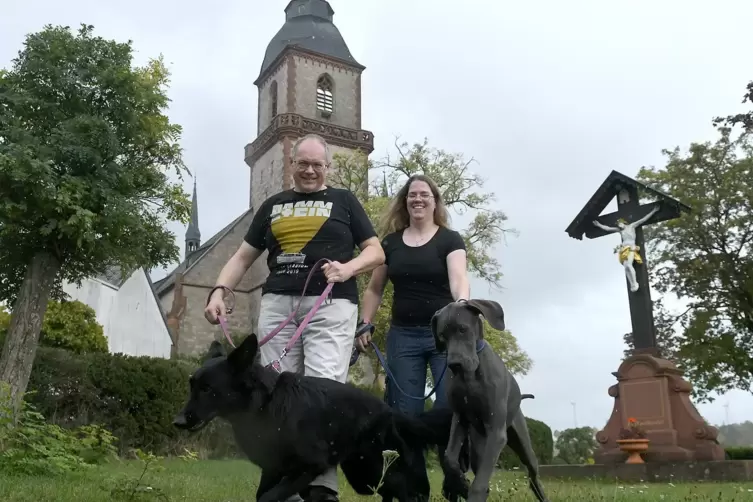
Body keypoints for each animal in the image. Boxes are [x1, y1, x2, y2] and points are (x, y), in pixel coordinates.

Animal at [173, 334, 468, 502]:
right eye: (192, 385)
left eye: (207, 389)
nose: (177, 421)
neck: (265, 404)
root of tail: (392, 412)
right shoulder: (273, 468)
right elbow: (263, 494)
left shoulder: (311, 466)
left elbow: (268, 497)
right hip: (363, 474)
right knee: (389, 493)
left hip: (376, 468)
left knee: (410, 492)